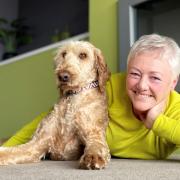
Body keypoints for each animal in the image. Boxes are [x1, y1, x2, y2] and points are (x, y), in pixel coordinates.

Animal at [0, 41, 111, 169]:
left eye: (83, 55)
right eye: (64, 54)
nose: (63, 76)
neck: (71, 99)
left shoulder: (94, 134)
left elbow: (96, 146)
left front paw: (93, 157)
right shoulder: (37, 144)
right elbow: (11, 151)